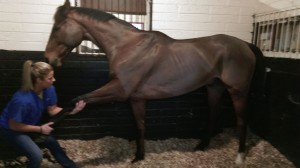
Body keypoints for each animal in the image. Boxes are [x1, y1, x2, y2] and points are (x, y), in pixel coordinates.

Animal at [44, 0, 264, 164]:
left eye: (57, 28)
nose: (48, 58)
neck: (128, 47)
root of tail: (245, 44)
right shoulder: (136, 98)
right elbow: (140, 126)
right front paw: (138, 157)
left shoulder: (119, 90)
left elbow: (75, 99)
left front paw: (46, 127)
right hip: (214, 88)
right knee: (213, 114)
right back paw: (201, 146)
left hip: (237, 91)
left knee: (241, 119)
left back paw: (239, 157)